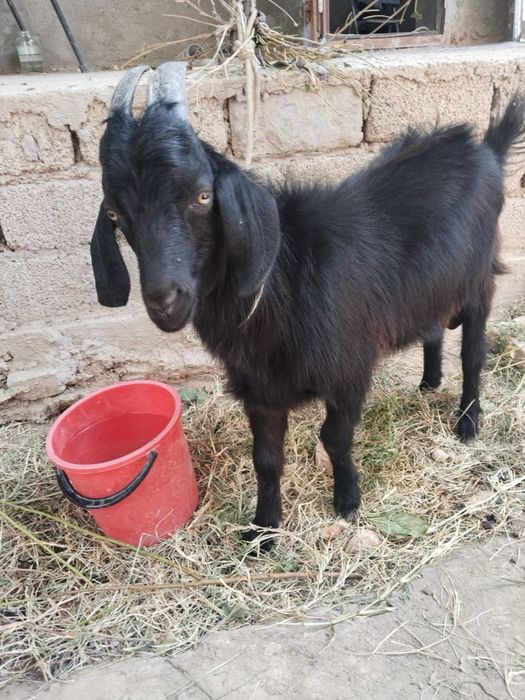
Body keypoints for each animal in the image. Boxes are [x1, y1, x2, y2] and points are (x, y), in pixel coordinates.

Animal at [91, 63, 524, 549]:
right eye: (115, 214)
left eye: (202, 195)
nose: (165, 301)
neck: (283, 286)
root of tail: (485, 150)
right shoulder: (259, 390)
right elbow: (265, 459)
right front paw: (263, 529)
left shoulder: (349, 370)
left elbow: (334, 438)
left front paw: (347, 500)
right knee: (431, 328)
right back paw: (429, 382)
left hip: (478, 283)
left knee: (473, 354)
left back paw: (468, 423)